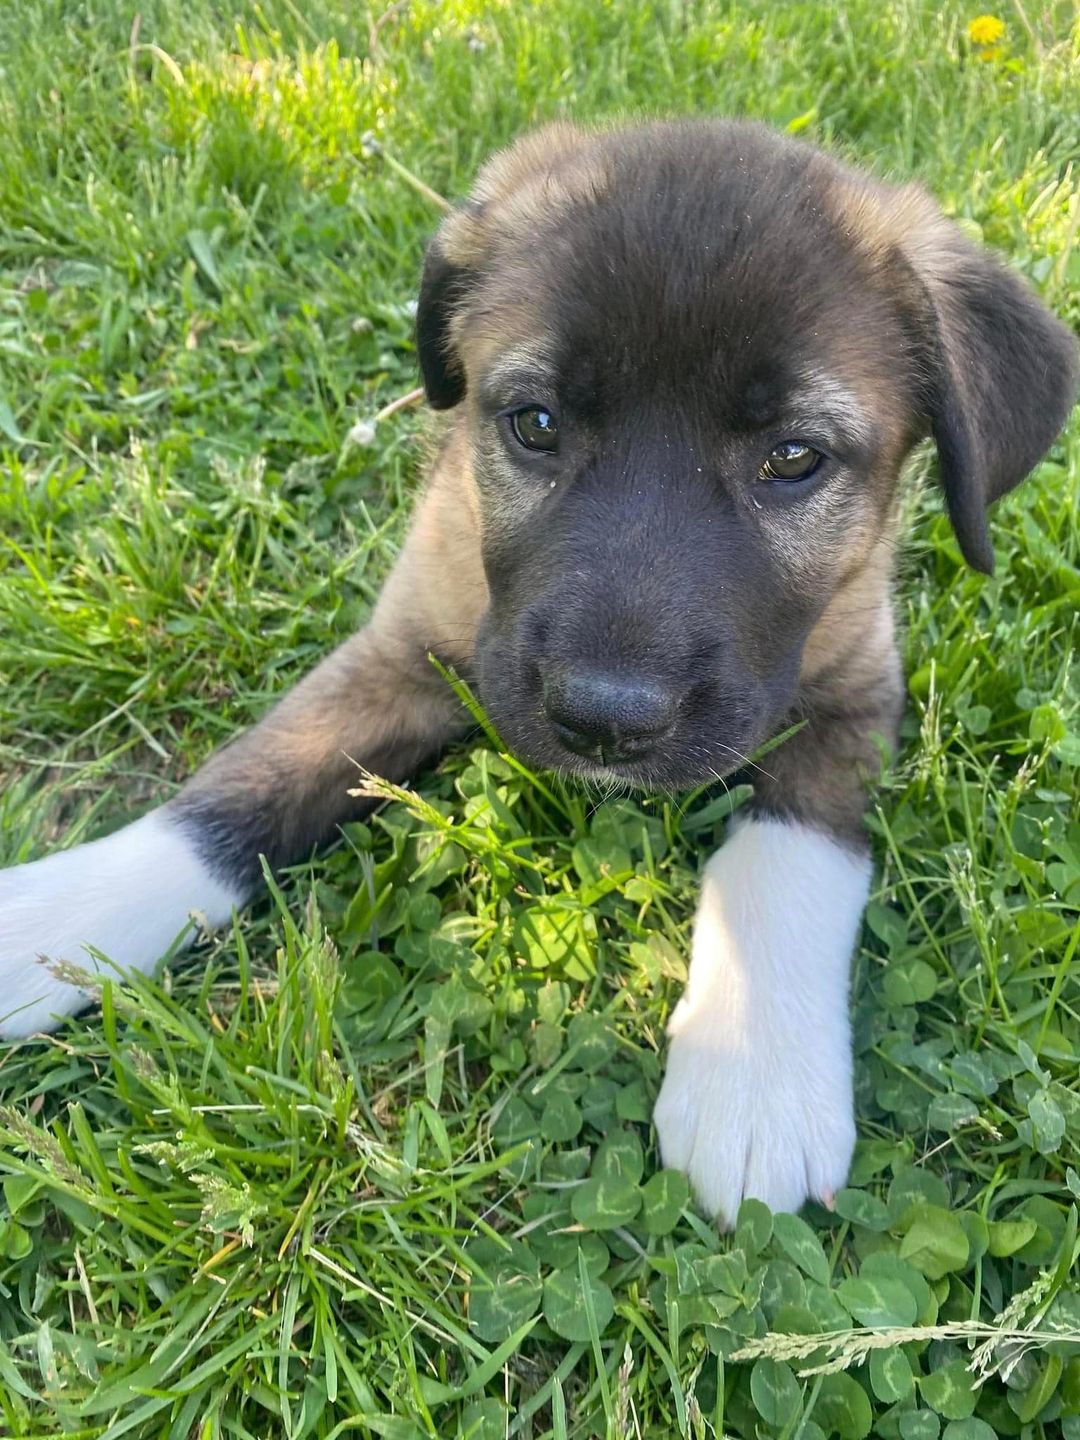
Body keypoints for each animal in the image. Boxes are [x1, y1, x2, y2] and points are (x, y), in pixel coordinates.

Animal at [0, 126, 1077, 1226]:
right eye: (538, 424)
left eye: (792, 457)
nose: (605, 721)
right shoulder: (405, 651)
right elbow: (243, 787)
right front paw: (58, 917)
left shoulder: (851, 693)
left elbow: (790, 856)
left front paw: (756, 1071)